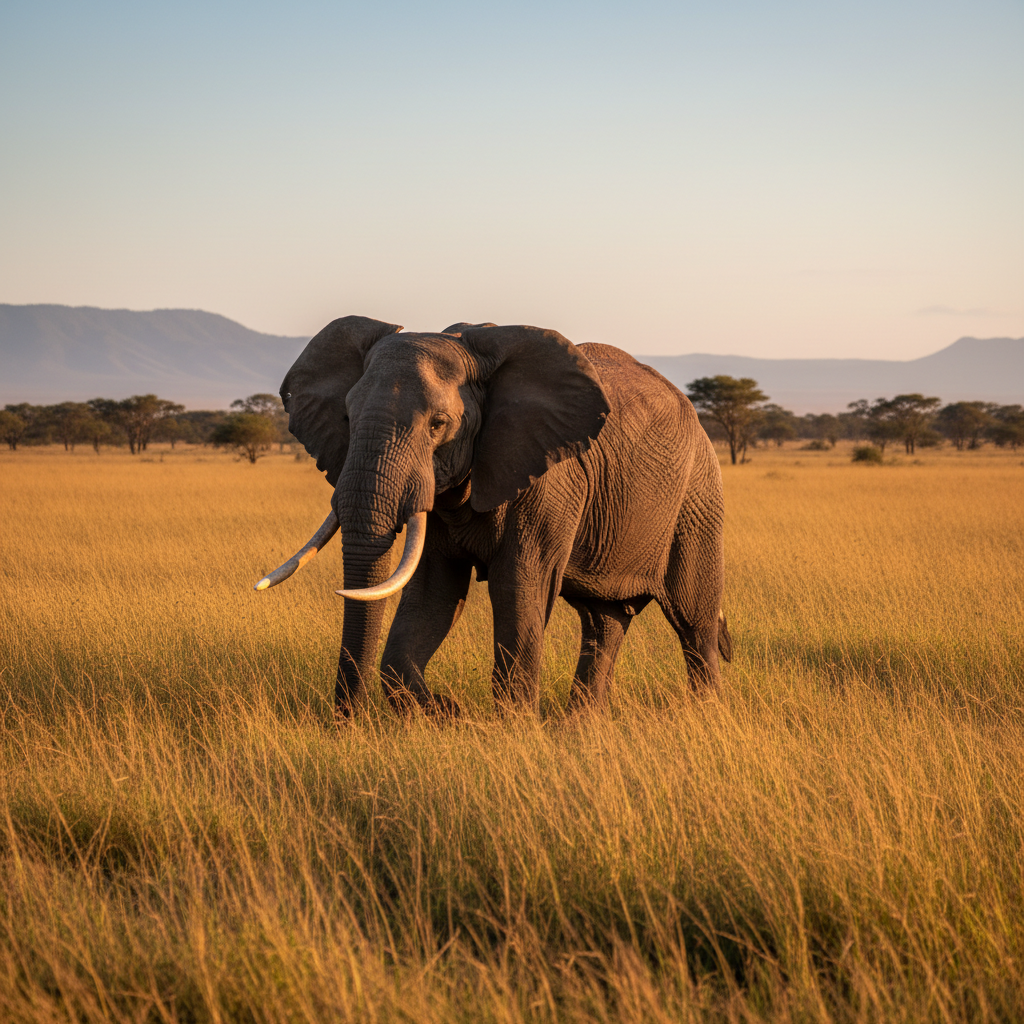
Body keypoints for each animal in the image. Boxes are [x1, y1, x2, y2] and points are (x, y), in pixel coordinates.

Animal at [255, 315, 731, 718]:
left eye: (438, 424)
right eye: (347, 418)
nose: (346, 723)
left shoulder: (549, 484)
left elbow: (518, 587)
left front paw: (511, 730)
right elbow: (435, 593)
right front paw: (449, 713)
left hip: (697, 500)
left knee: (694, 622)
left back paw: (703, 717)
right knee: (604, 621)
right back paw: (582, 727)